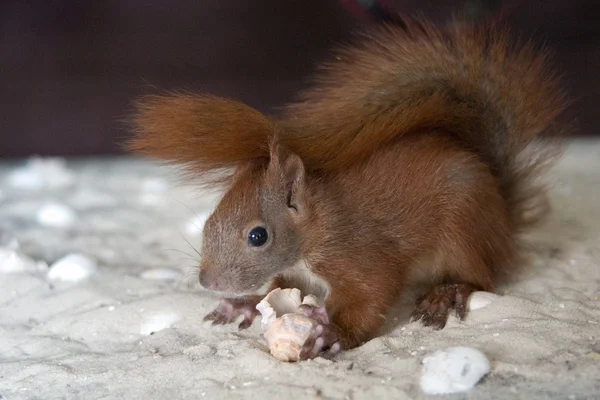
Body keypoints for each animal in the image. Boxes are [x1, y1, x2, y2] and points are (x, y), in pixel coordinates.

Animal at [126, 20, 568, 360]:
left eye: (258, 236)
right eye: (209, 220)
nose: (208, 281)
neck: (316, 225)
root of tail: (502, 213)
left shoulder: (356, 253)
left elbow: (372, 292)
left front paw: (332, 334)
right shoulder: (297, 273)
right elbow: (279, 289)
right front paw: (246, 304)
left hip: (464, 227)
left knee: (482, 277)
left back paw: (449, 291)